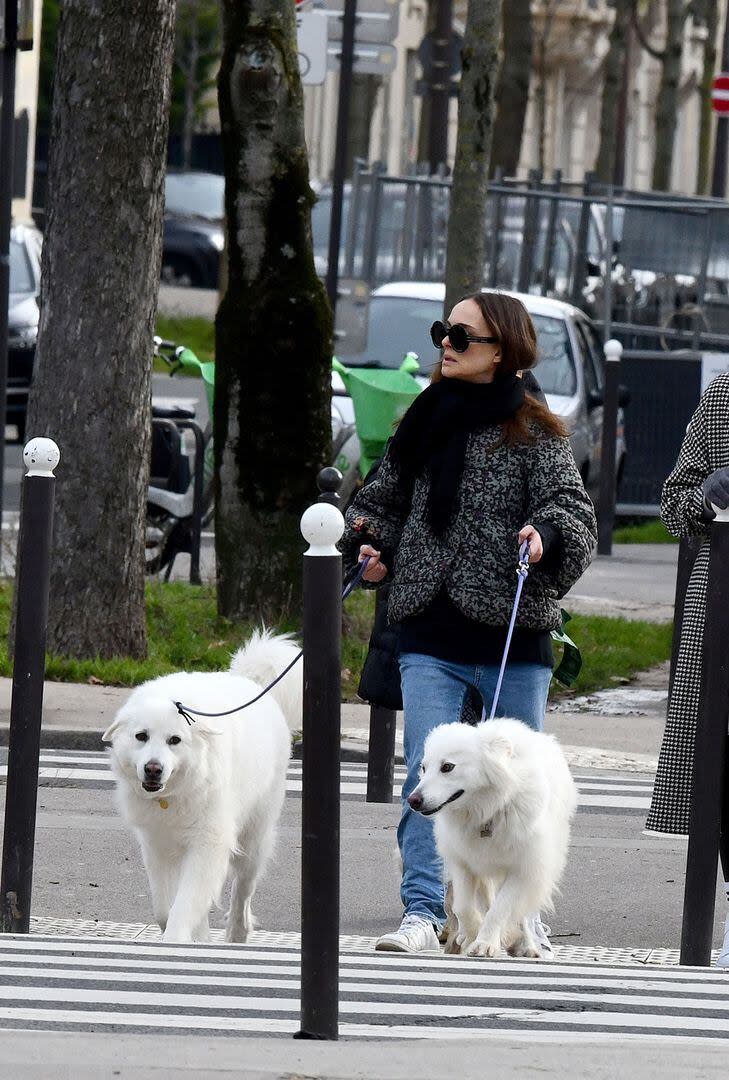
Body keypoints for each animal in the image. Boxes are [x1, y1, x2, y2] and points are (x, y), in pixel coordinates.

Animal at [102, 630, 300, 941]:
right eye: (141, 736)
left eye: (175, 740)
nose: (153, 769)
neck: (172, 796)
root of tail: (253, 683)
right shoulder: (157, 845)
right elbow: (164, 907)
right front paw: (194, 936)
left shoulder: (208, 844)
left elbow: (186, 904)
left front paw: (177, 939)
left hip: (253, 839)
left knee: (243, 890)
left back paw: (237, 932)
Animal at [410, 721, 574, 959]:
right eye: (423, 768)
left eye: (447, 767)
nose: (412, 800)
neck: (488, 810)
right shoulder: (463, 862)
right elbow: (463, 907)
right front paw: (471, 935)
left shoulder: (524, 869)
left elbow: (500, 909)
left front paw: (485, 943)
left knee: (523, 912)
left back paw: (526, 944)